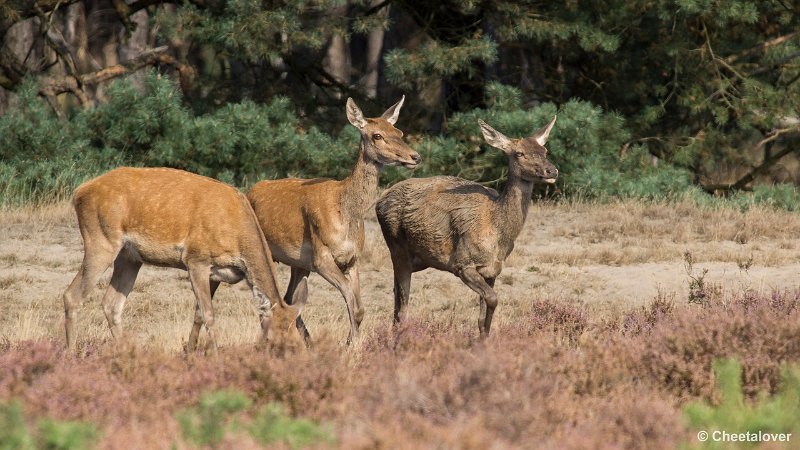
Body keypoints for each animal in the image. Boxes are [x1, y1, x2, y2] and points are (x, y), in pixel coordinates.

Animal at [61, 165, 306, 352]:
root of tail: (79, 192)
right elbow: (208, 314)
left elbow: (198, 313)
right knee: (72, 295)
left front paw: (189, 352)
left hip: (130, 257)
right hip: (100, 240)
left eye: (298, 341)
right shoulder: (196, 259)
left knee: (111, 304)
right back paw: (72, 354)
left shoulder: (215, 272)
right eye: (273, 340)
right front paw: (214, 354)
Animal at [247, 96, 422, 342]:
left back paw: (308, 342)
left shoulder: (353, 258)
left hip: (298, 262)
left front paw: (351, 342)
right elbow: (352, 302)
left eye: (399, 131)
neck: (345, 212)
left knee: (290, 299)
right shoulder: (320, 257)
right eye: (377, 135)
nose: (415, 156)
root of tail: (249, 191)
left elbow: (359, 308)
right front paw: (352, 344)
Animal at [376, 116, 556, 338]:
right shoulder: (462, 263)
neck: (498, 233)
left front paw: (483, 341)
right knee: (402, 308)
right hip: (396, 247)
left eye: (544, 150)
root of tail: (379, 201)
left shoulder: (493, 270)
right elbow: (493, 299)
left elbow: (484, 317)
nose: (552, 170)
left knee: (395, 300)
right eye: (519, 153)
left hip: (418, 259)